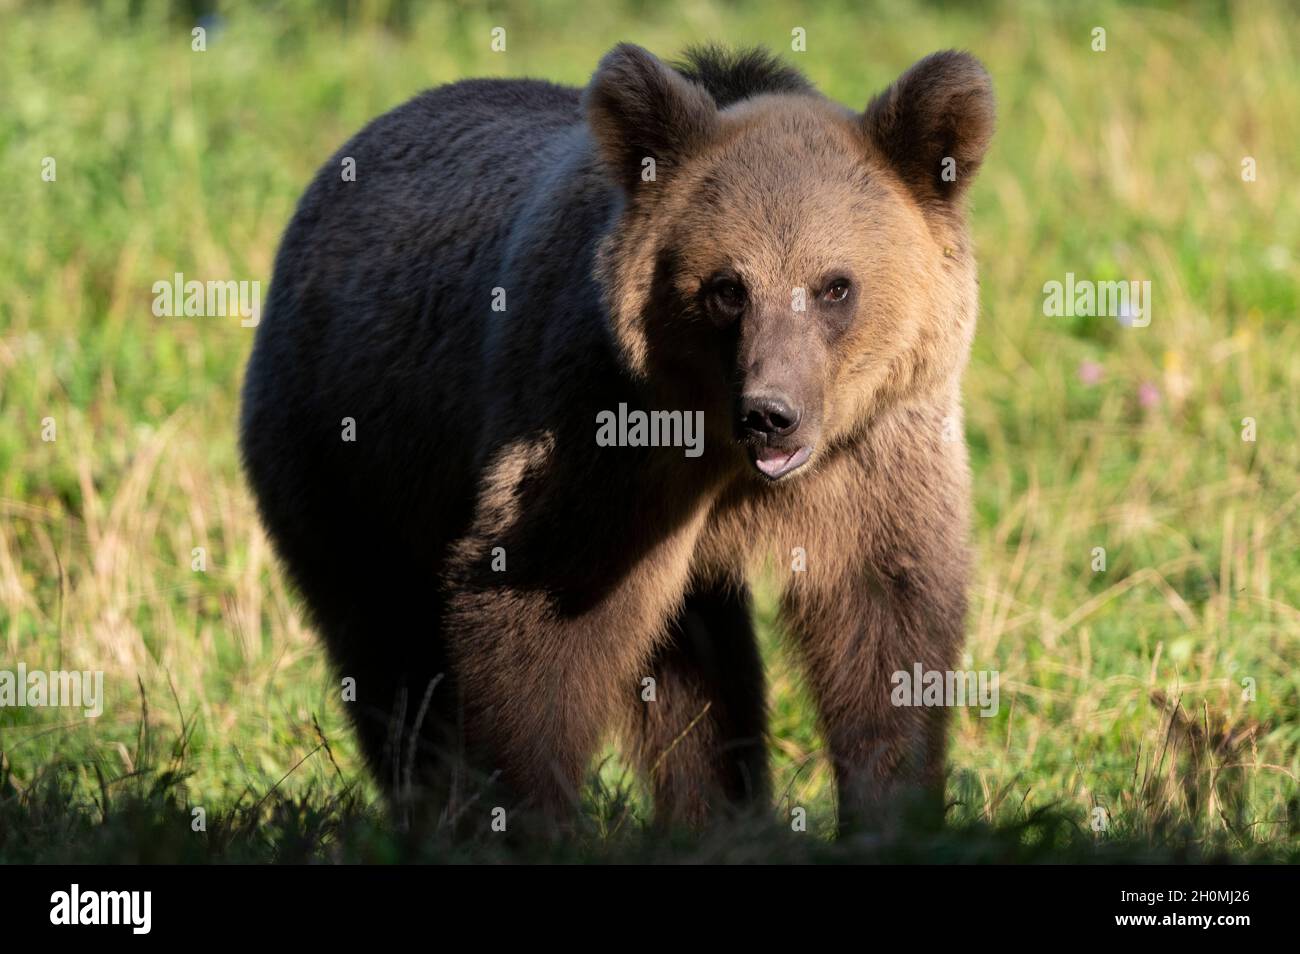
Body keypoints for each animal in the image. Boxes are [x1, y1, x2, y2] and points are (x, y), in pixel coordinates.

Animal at [244, 46, 993, 837]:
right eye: (728, 287)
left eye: (835, 286)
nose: (771, 414)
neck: (725, 457)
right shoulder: (602, 440)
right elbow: (540, 618)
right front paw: (525, 817)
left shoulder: (870, 458)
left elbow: (886, 620)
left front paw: (896, 809)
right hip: (349, 453)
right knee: (387, 639)